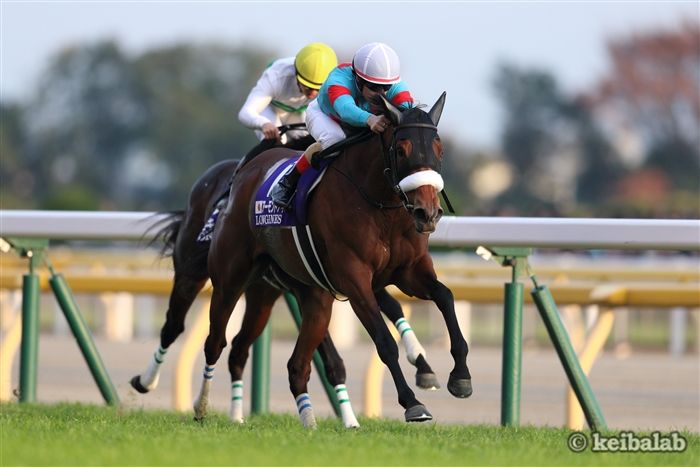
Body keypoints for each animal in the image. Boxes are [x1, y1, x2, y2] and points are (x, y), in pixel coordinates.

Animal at [130, 136, 440, 428]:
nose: (425, 210)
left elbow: (387, 311)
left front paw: (422, 366)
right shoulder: (332, 280)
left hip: (262, 295)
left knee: (238, 349)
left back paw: (236, 414)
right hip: (192, 273)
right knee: (174, 326)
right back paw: (146, 381)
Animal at [190, 92, 472, 429]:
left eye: (439, 149)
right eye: (401, 149)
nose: (427, 213)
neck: (382, 206)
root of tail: (246, 171)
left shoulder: (410, 272)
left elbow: (445, 296)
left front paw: (460, 377)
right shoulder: (355, 279)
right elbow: (383, 340)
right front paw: (412, 403)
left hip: (308, 297)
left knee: (296, 364)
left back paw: (310, 421)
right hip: (230, 280)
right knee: (215, 342)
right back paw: (202, 407)